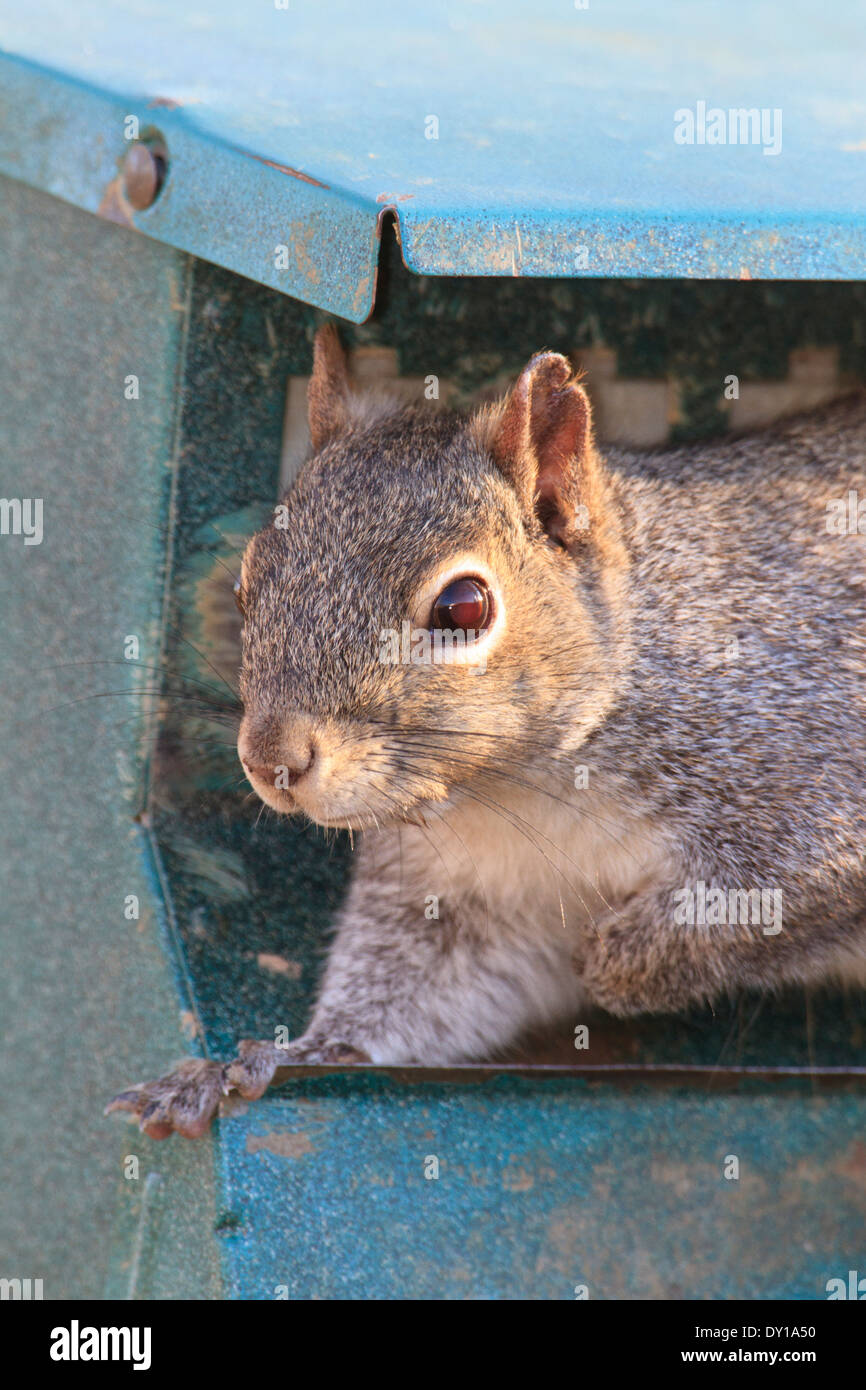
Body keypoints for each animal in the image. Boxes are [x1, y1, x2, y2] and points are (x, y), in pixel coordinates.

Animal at [108, 324, 866, 1139]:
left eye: (465, 607)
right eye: (247, 581)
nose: (271, 760)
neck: (527, 788)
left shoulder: (805, 758)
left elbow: (782, 895)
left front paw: (618, 964)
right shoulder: (461, 902)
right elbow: (411, 996)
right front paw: (269, 1060)